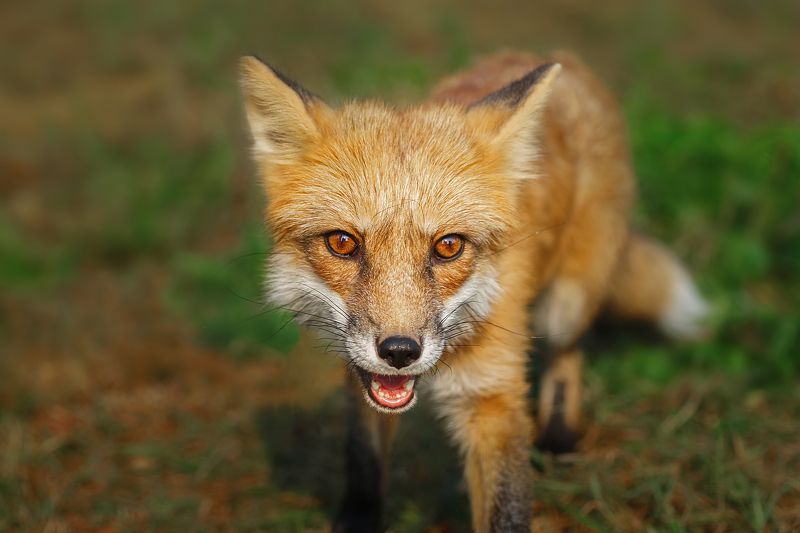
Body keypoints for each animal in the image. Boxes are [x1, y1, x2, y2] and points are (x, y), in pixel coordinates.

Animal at [239, 50, 707, 532]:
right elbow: (363, 460)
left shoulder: (493, 400)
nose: (400, 352)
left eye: (449, 246)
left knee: (569, 351)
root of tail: (555, 57)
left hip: (567, 305)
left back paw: (559, 435)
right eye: (342, 243)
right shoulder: (362, 375)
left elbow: (506, 510)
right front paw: (359, 518)